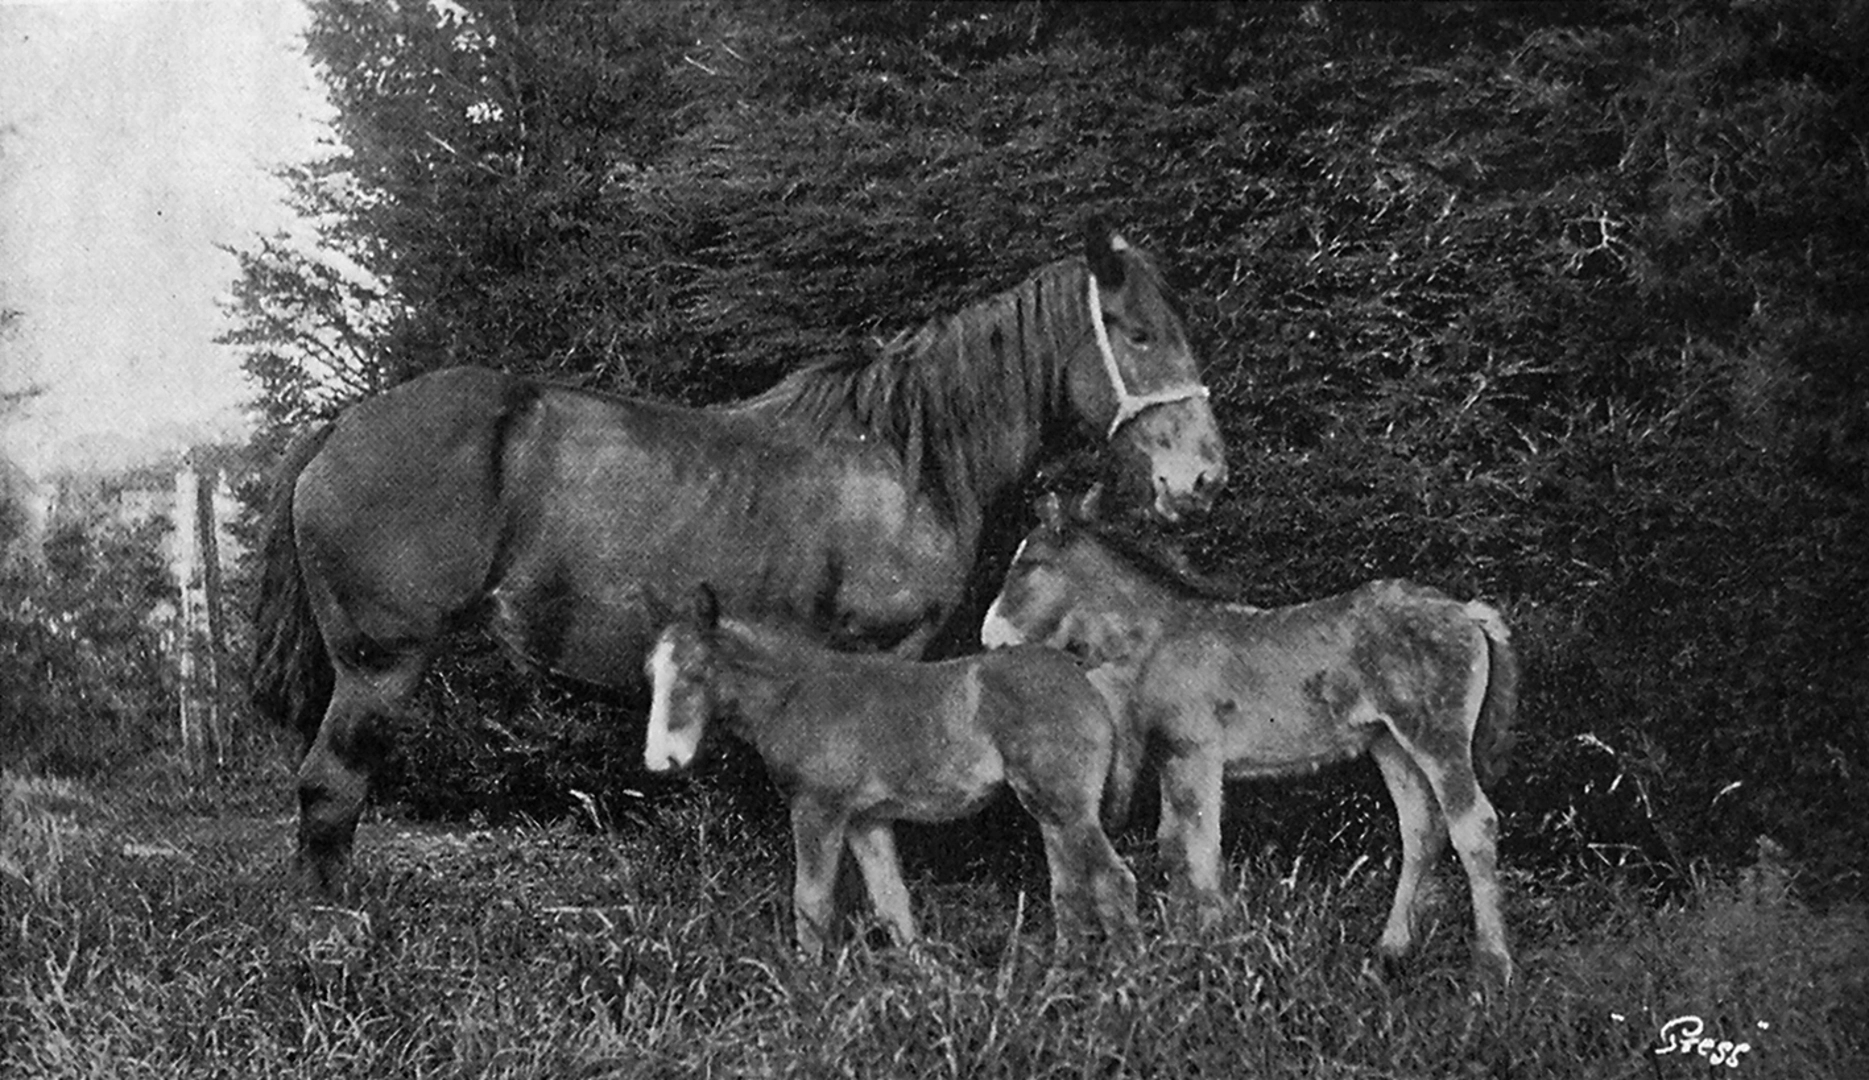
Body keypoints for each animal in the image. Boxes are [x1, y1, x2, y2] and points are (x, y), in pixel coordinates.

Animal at [256, 220, 1233, 889]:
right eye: (1136, 332)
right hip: (380, 663)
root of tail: (340, 427)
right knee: (329, 789)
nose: (1203, 476)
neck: (902, 455)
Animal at [642, 579, 1136, 949]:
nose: (660, 760)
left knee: (1113, 881)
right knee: (1069, 890)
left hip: (1067, 809)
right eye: (652, 675)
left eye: (694, 673)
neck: (793, 694)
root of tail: (1089, 685)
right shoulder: (866, 819)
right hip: (1052, 814)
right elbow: (892, 902)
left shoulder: (818, 809)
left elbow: (811, 901)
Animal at [979, 493, 1517, 986]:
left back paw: (1493, 970)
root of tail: (1465, 611)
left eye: (1027, 565)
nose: (988, 637)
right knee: (1422, 830)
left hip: (1436, 737)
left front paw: (1211, 952)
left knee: (1474, 826)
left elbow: (1195, 851)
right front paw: (1186, 945)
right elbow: (1175, 847)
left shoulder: (1194, 753)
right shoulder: (1173, 757)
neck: (1160, 638)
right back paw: (1390, 951)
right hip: (1390, 743)